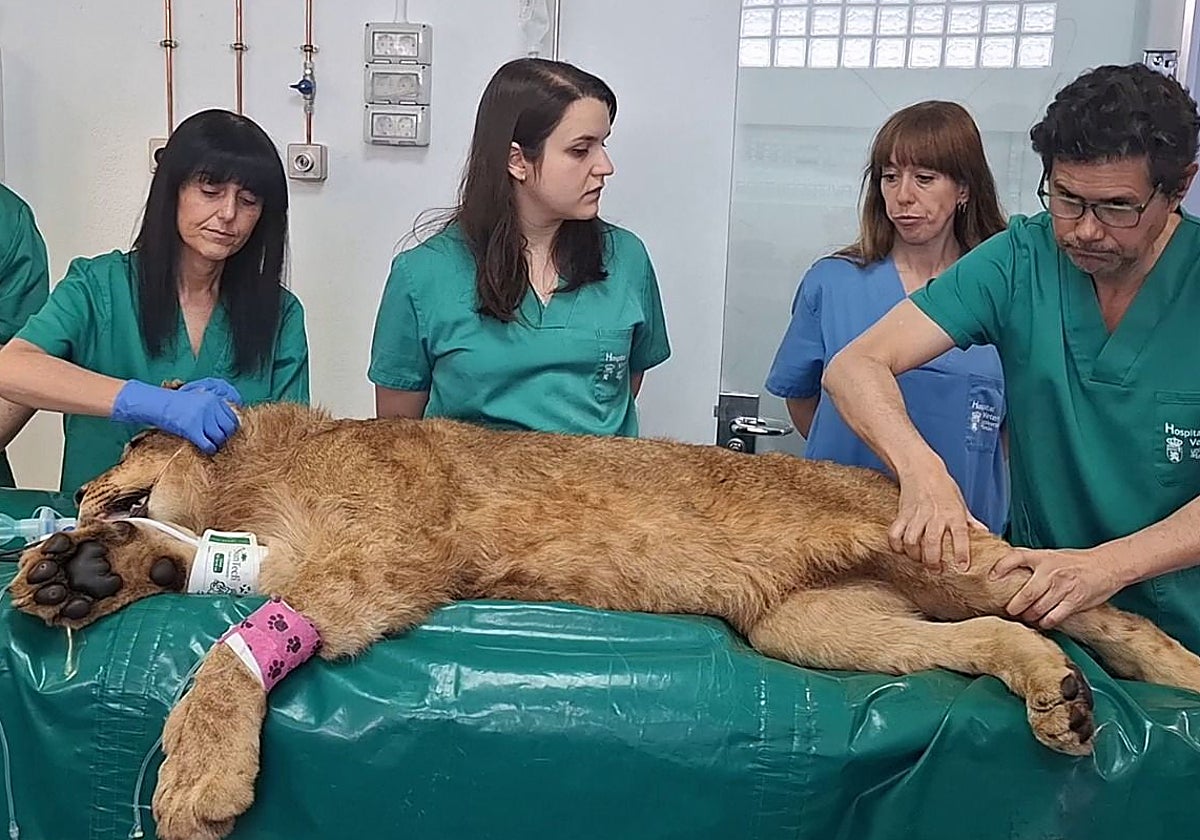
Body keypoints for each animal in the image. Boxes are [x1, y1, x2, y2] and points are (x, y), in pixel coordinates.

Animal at [8, 402, 1200, 840]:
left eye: (121, 442)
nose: (76, 499)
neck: (256, 471)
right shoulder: (280, 557)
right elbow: (191, 572)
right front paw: (77, 576)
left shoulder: (389, 560)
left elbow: (226, 653)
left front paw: (196, 779)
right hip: (813, 628)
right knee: (998, 639)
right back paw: (1059, 699)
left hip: (940, 549)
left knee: (1090, 599)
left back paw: (1164, 676)